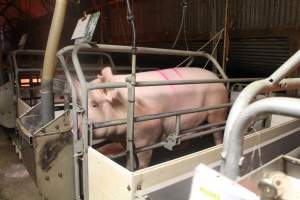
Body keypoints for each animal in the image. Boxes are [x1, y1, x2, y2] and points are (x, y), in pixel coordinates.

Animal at [74, 66, 227, 168]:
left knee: (217, 132)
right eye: (80, 106)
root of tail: (219, 79)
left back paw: (216, 146)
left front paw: (140, 170)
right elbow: (129, 157)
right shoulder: (124, 139)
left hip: (217, 111)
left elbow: (143, 159)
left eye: (94, 104)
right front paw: (129, 167)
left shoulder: (148, 135)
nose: (78, 129)